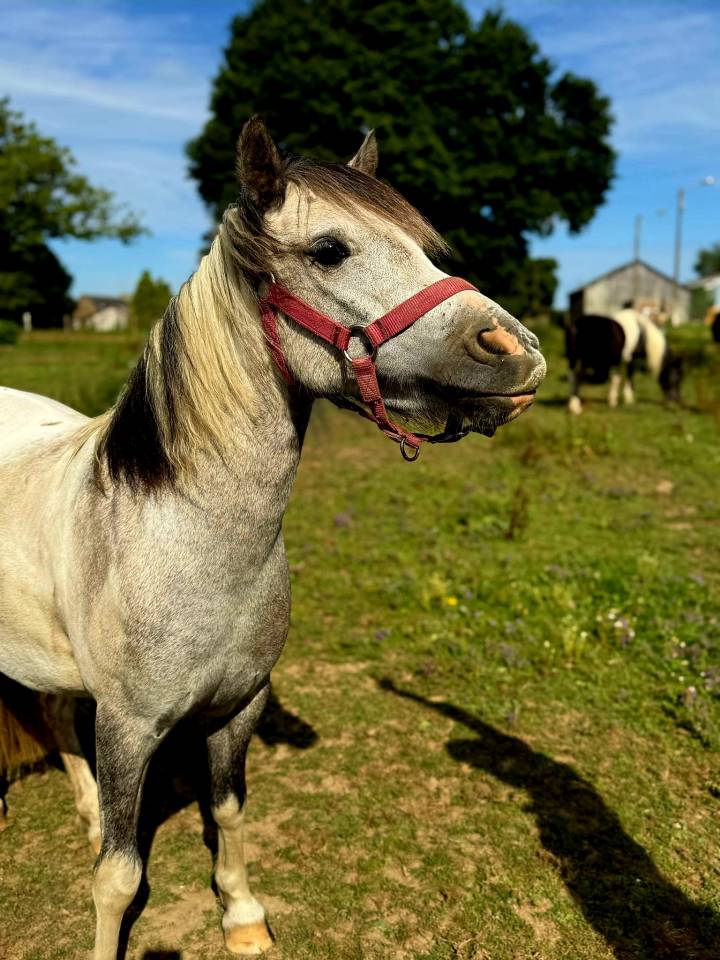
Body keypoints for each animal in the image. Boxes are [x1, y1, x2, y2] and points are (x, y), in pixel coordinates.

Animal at [0, 118, 546, 959]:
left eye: (421, 244)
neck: (186, 541)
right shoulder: (127, 729)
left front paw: (244, 915)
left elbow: (227, 810)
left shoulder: (239, 707)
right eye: (329, 249)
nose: (515, 349)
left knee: (57, 715)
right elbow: (118, 876)